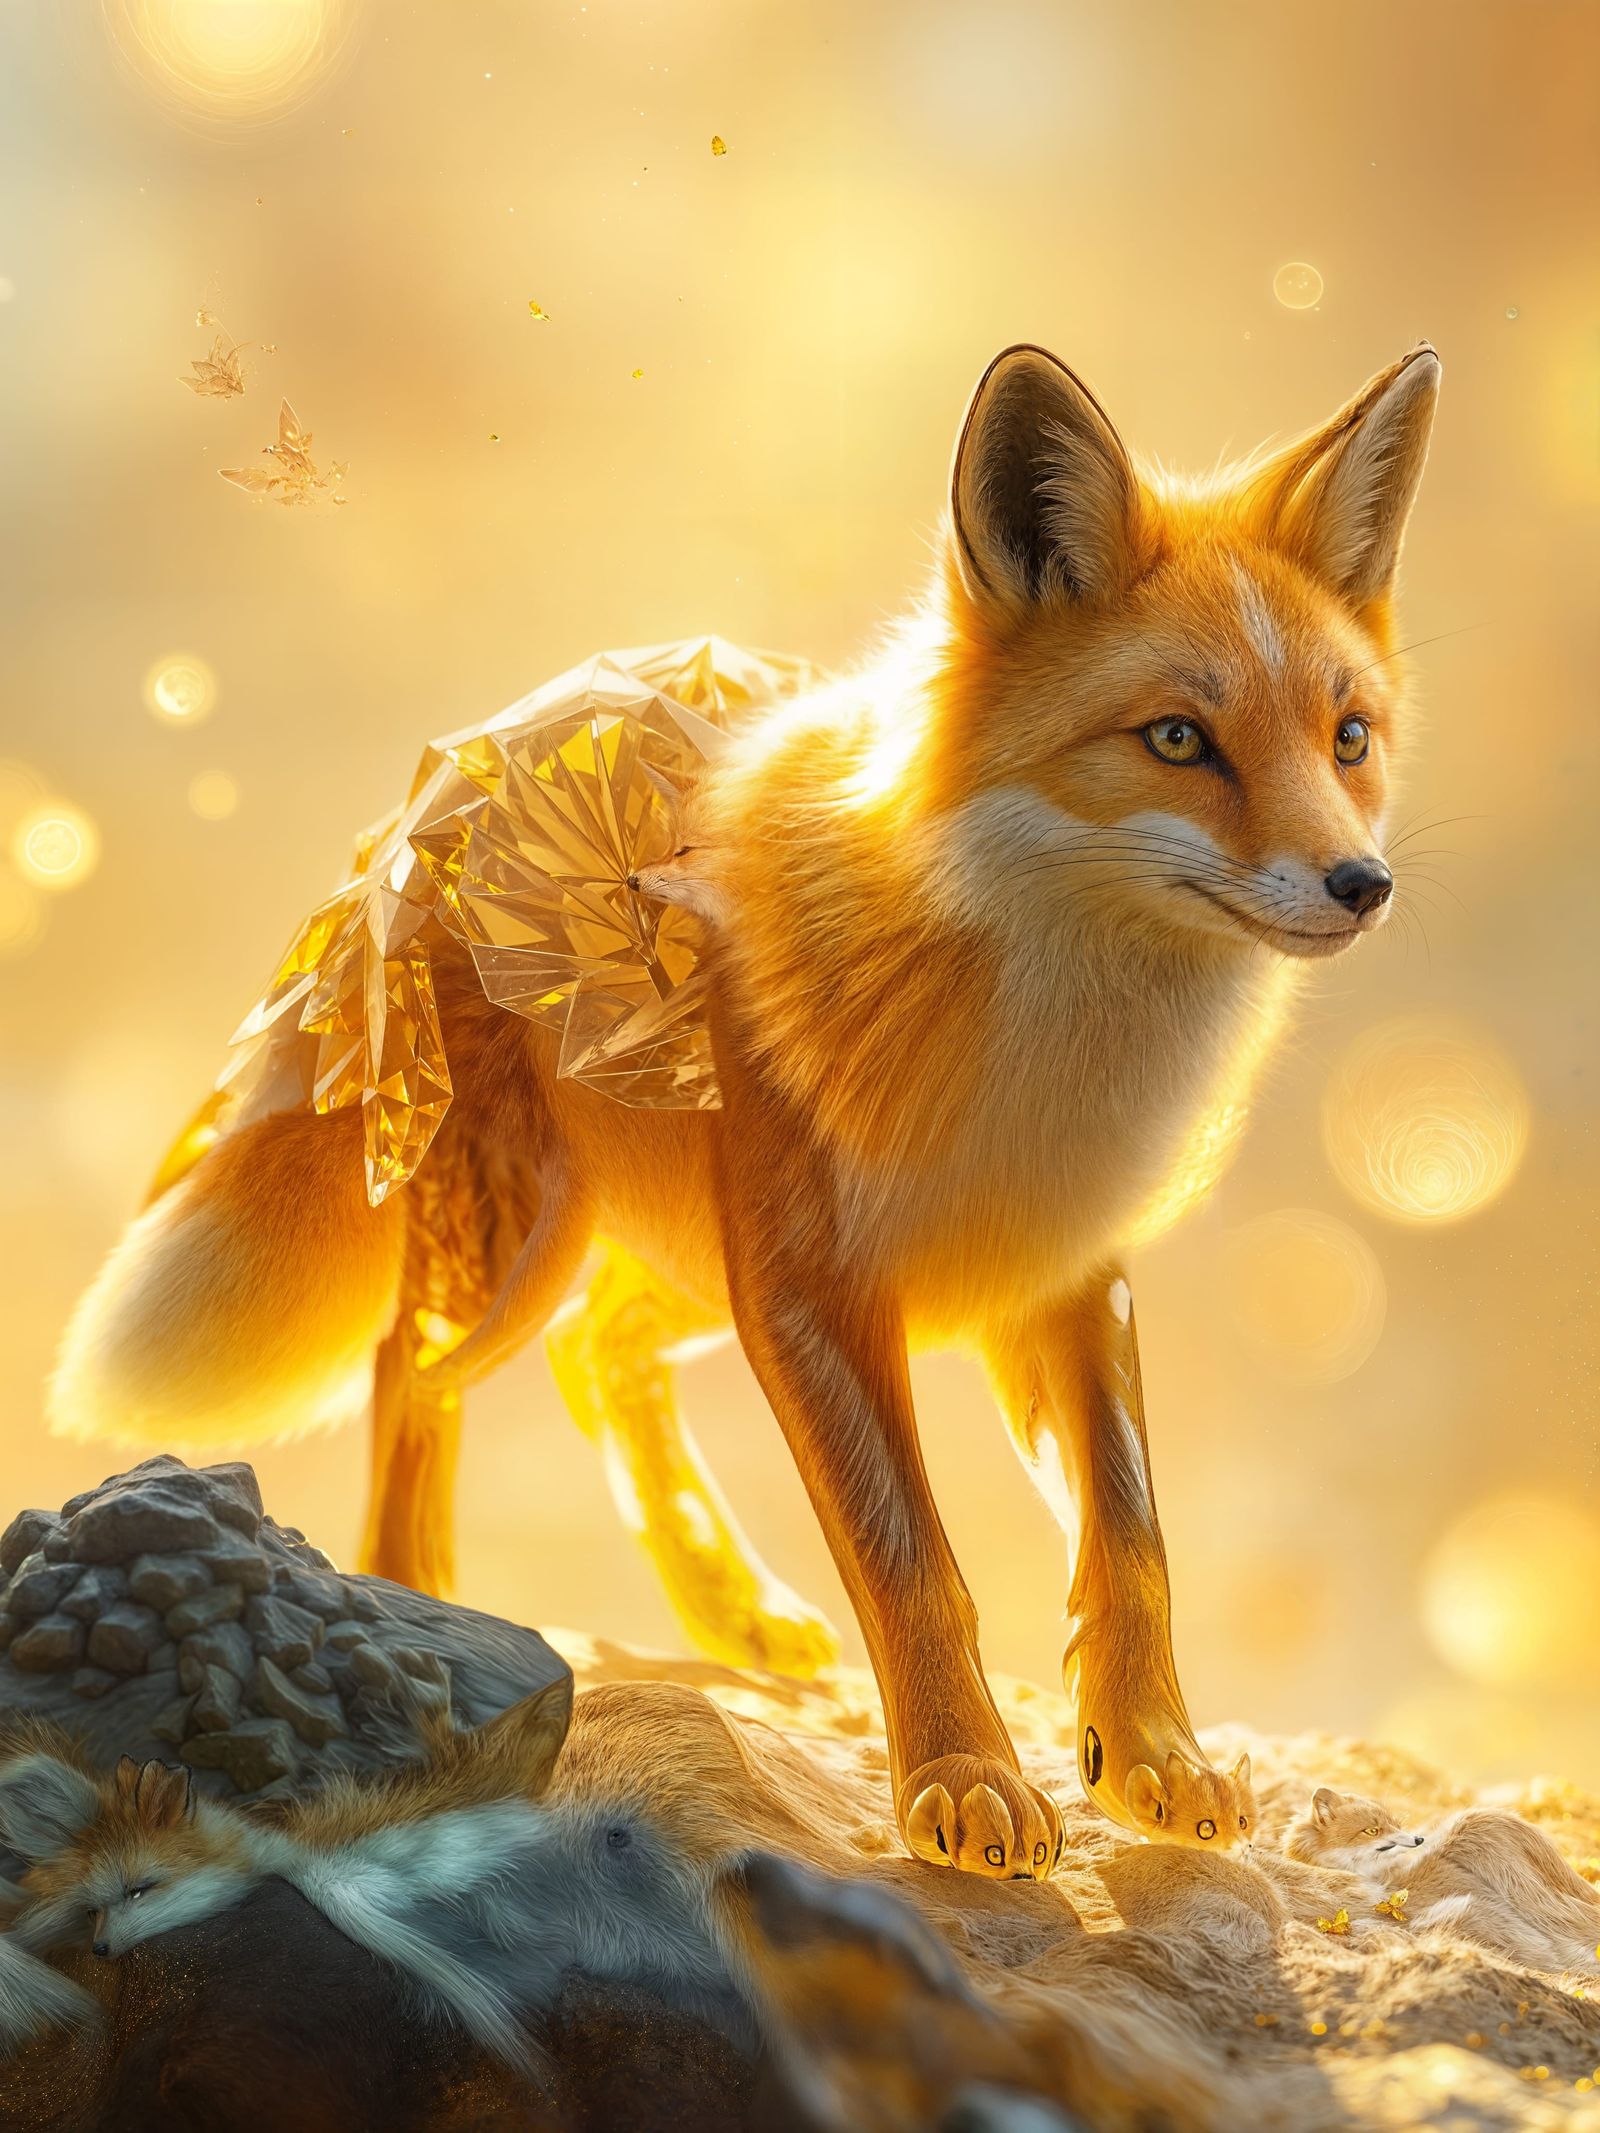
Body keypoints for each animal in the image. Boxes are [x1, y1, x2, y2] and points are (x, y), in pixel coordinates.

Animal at [47, 339, 1440, 1877]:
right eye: (1180, 738)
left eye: (1348, 736)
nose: (1362, 885)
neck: (1037, 1035)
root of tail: (447, 775)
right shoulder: (812, 1288)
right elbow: (912, 1559)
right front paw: (963, 1777)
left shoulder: (1063, 1268)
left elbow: (1130, 1545)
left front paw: (1148, 1761)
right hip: (523, 1250)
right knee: (416, 1381)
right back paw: (424, 1604)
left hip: (678, 1262)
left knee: (598, 1356)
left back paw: (730, 1613)